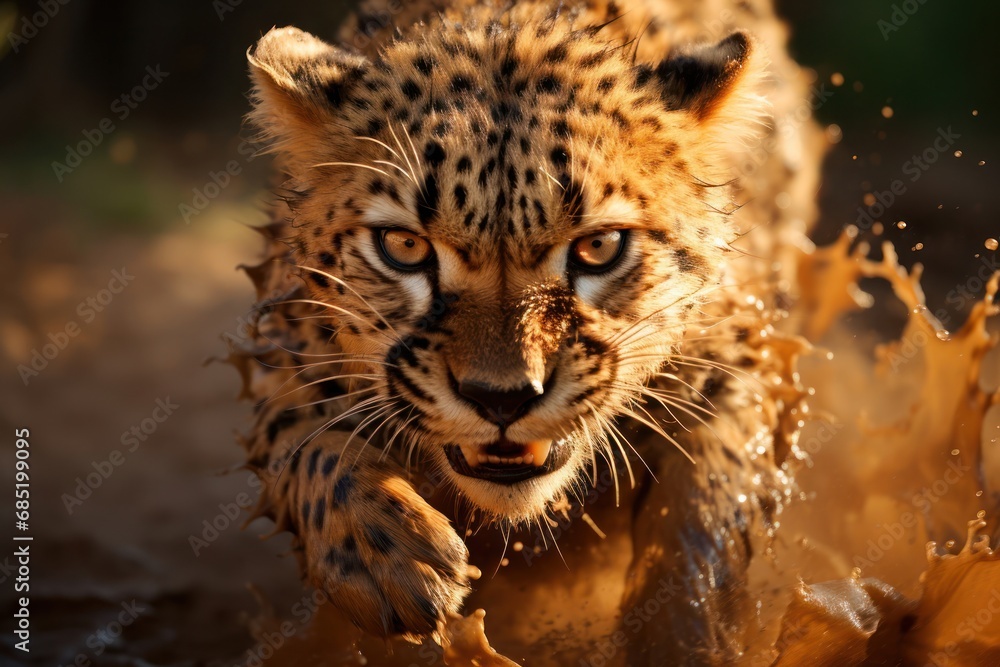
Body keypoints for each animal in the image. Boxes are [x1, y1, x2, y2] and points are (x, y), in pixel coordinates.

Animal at [229, 0, 824, 662]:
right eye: (403, 247)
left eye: (599, 247)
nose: (502, 400)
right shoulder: (284, 351)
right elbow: (307, 445)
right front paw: (392, 558)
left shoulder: (743, 358)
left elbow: (706, 511)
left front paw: (688, 636)